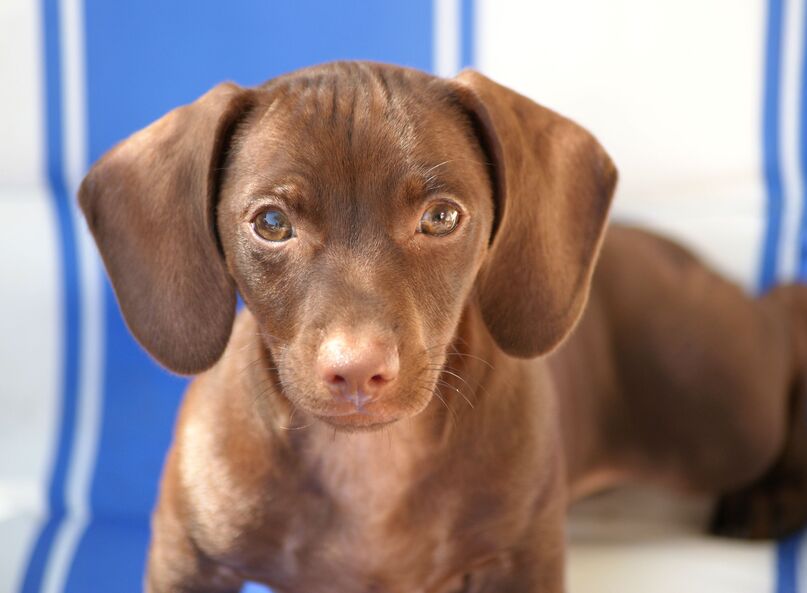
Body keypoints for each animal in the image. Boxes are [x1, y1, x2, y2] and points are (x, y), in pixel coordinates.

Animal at [77, 62, 807, 588]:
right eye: (272, 223)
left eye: (441, 217)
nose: (358, 371)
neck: (369, 464)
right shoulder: (184, 556)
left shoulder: (522, 560)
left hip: (714, 412)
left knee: (778, 335)